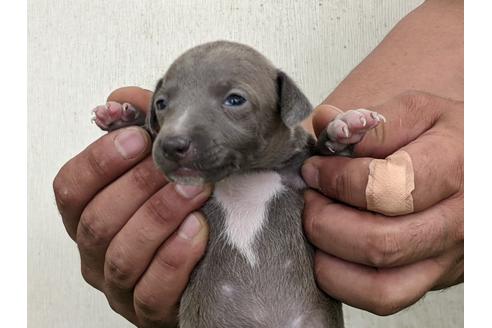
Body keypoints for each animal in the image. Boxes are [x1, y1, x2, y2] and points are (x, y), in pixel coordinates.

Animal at [92, 41, 384, 328]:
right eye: (161, 103)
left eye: (235, 100)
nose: (172, 144)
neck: (243, 175)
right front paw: (120, 118)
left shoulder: (301, 173)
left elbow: (327, 157)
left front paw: (345, 128)